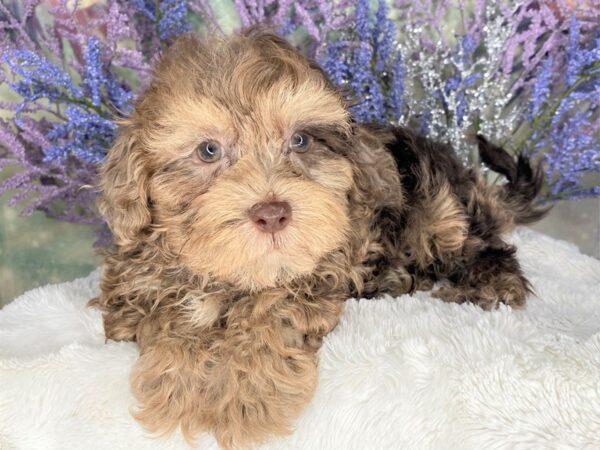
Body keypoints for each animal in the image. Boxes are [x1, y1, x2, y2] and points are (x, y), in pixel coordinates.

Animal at [91, 29, 548, 450]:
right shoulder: (130, 290)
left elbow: (271, 311)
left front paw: (244, 396)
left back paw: (488, 286)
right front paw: (181, 382)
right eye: (208, 151)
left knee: (485, 248)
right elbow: (169, 316)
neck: (237, 273)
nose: (272, 213)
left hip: (438, 208)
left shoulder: (321, 271)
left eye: (300, 140)